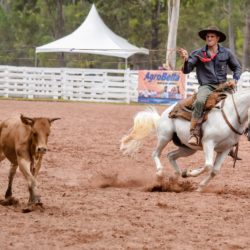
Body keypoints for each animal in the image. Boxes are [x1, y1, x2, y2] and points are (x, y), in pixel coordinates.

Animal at [120, 91, 249, 191]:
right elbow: (208, 165)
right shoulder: (208, 143)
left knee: (170, 155)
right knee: (155, 154)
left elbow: (214, 170)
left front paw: (199, 186)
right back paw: (160, 173)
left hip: (188, 149)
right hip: (164, 137)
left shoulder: (225, 149)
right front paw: (189, 173)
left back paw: (175, 178)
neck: (231, 115)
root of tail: (162, 115)